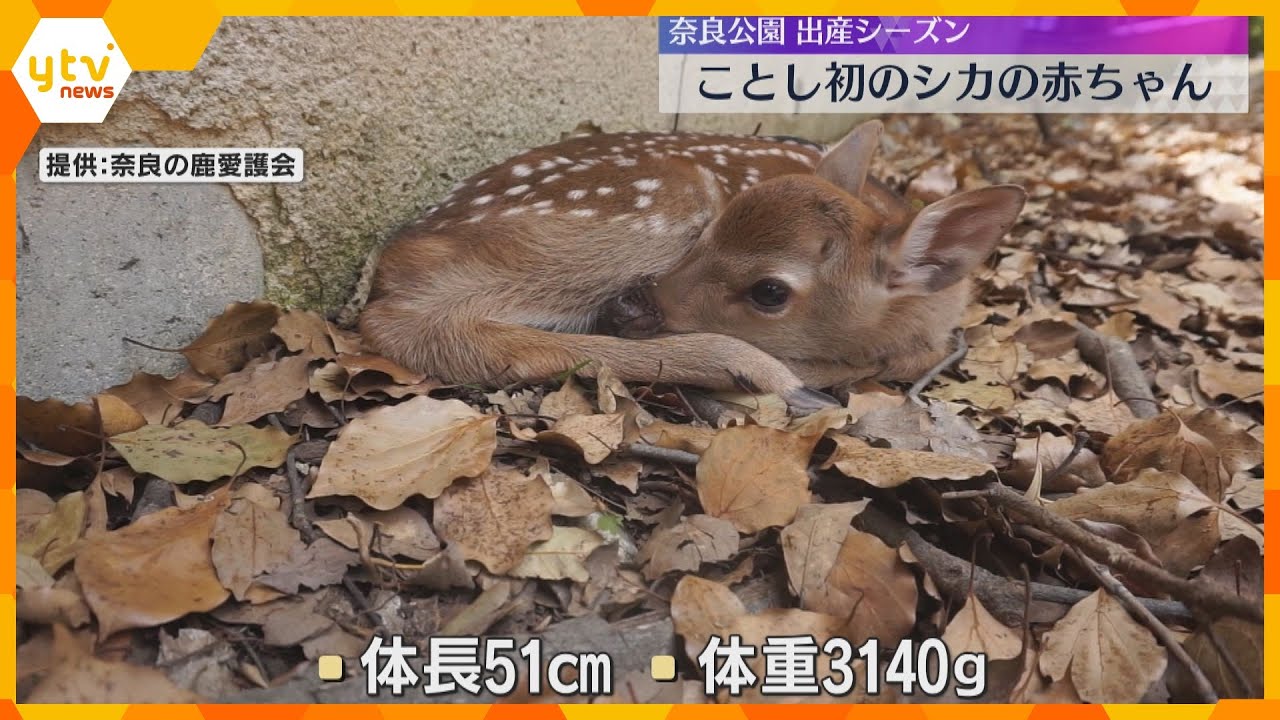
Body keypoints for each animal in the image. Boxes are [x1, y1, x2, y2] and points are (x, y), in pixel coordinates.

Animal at [359, 120, 1026, 413]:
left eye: (769, 292)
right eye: (712, 231)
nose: (633, 302)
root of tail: (398, 251)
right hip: (653, 209)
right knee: (416, 322)